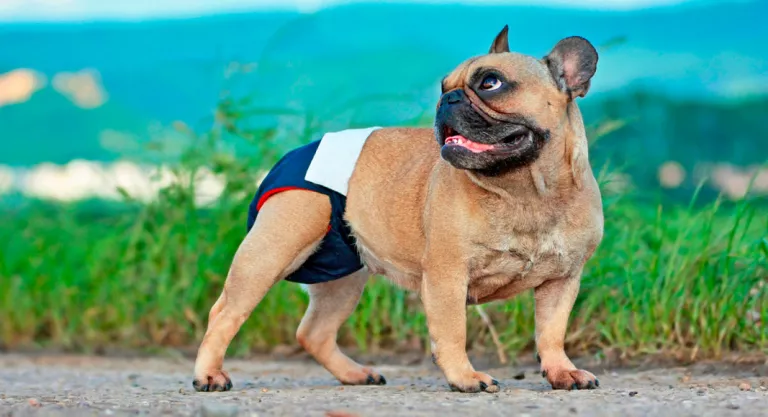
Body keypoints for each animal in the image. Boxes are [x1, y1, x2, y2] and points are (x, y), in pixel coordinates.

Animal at [195, 26, 604, 394]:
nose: (447, 99)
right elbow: (453, 331)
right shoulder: (446, 276)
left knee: (314, 332)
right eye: (444, 86)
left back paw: (355, 374)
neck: (527, 191)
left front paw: (561, 372)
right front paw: (465, 377)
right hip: (273, 250)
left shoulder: (561, 280)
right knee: (225, 313)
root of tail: (294, 154)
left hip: (343, 277)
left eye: (491, 83)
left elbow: (551, 333)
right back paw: (209, 375)